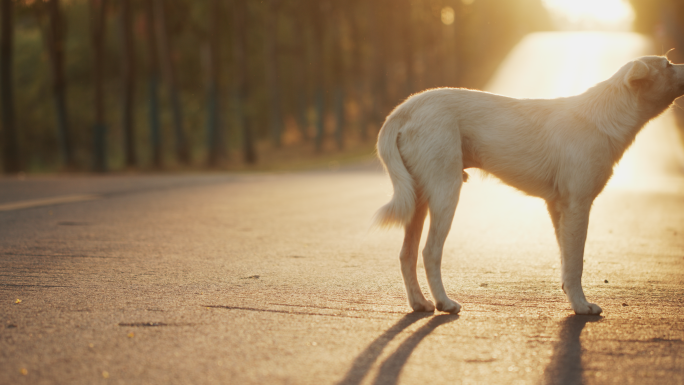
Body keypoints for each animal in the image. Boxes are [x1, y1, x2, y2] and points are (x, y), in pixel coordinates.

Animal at [374, 55, 684, 314]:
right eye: (668, 64)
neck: (606, 114)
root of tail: (406, 108)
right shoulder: (578, 205)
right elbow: (576, 262)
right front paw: (581, 306)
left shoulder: (558, 208)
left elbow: (566, 260)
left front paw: (571, 297)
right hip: (445, 192)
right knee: (430, 252)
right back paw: (444, 302)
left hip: (418, 199)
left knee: (406, 254)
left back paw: (419, 303)